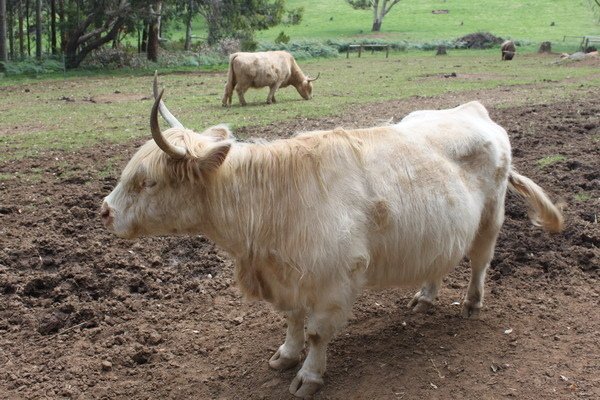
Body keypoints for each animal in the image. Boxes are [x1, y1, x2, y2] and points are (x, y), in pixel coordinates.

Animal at [101, 79, 564, 398]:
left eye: (148, 181)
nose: (105, 210)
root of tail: (473, 110)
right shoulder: (288, 277)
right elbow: (292, 320)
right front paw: (285, 355)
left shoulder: (333, 280)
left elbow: (317, 333)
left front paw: (308, 375)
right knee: (439, 260)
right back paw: (425, 297)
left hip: (491, 217)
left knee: (480, 261)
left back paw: (471, 304)